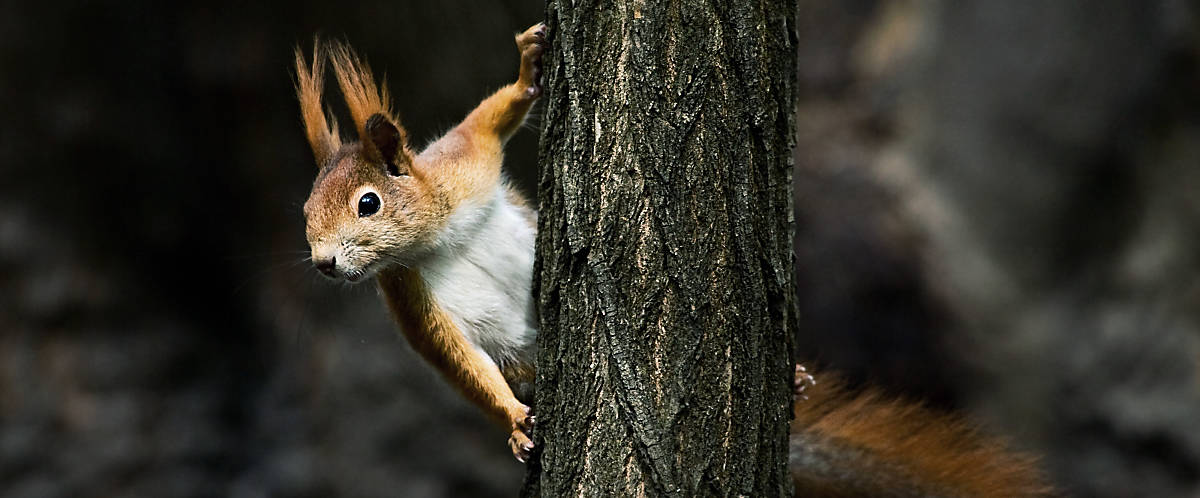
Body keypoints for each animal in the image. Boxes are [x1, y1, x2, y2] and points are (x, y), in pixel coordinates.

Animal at [290, 22, 1051, 494]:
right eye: (303, 214)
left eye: (367, 204)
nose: (324, 264)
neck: (433, 235)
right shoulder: (409, 295)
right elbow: (458, 359)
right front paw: (511, 421)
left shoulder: (462, 169)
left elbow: (492, 118)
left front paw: (530, 68)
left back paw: (795, 376)